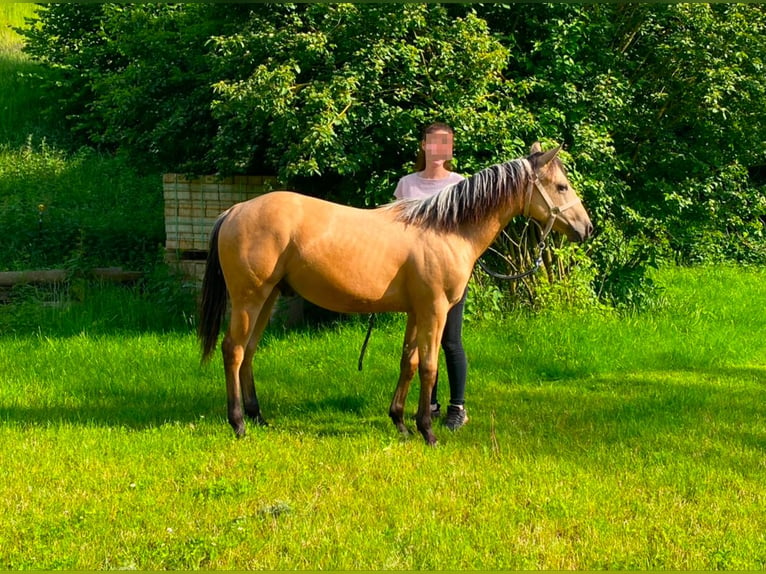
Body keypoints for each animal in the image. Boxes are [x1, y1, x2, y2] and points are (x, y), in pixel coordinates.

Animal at [198, 143, 592, 446]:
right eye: (561, 186)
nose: (586, 228)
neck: (445, 229)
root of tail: (235, 209)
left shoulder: (417, 311)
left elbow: (409, 362)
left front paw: (401, 423)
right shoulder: (434, 310)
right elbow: (430, 367)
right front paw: (428, 431)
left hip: (267, 298)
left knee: (249, 350)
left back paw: (258, 416)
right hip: (249, 298)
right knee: (233, 350)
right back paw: (238, 423)